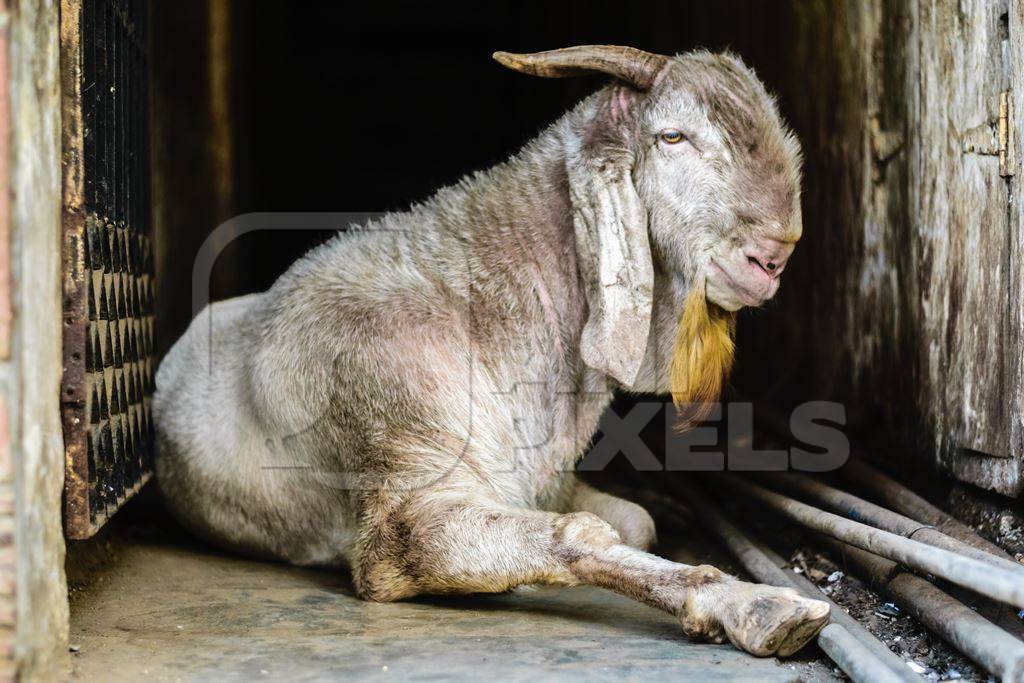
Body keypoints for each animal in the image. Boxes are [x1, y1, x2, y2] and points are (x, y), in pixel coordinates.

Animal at [153, 46, 831, 655]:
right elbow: (580, 534)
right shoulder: (403, 500)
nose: (773, 256)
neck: (483, 307)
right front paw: (757, 605)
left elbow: (635, 522)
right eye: (673, 136)